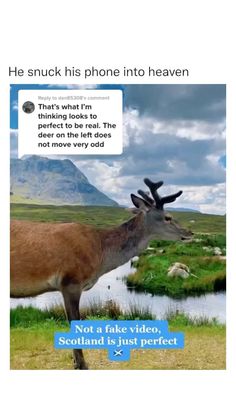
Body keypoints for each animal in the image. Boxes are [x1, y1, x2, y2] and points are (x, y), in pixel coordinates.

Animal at [10, 179, 193, 370]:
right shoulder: (71, 282)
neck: (100, 254)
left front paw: (76, 361)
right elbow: (74, 322)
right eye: (168, 217)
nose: (190, 233)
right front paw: (81, 364)